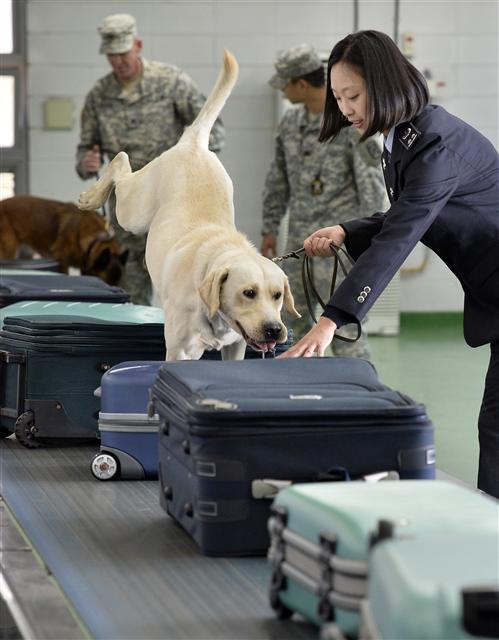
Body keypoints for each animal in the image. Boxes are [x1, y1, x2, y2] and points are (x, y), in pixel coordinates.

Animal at [77, 48, 296, 360]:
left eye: (278, 295)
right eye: (249, 293)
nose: (274, 329)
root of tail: (194, 144)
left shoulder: (236, 344)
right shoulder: (181, 348)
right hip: (134, 210)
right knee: (120, 161)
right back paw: (91, 196)